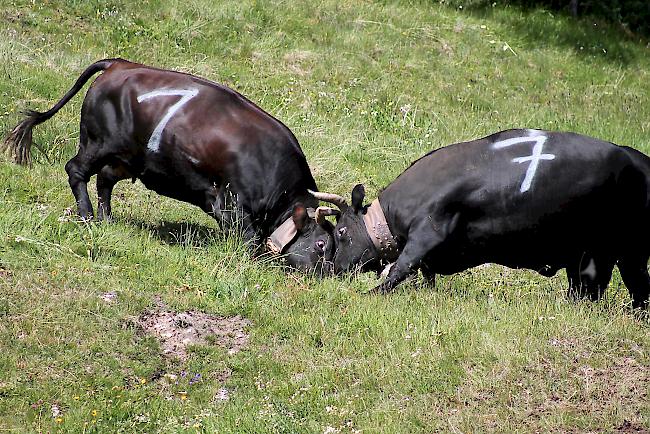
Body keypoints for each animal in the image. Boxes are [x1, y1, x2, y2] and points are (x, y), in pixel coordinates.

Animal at [5, 57, 336, 272]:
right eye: (322, 244)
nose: (330, 274)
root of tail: (119, 64)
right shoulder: (231, 204)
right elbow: (249, 241)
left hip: (130, 158)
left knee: (105, 179)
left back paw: (106, 219)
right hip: (98, 143)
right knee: (76, 170)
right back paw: (87, 216)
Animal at [322, 129, 648, 308]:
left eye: (341, 232)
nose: (334, 270)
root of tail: (638, 159)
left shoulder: (429, 229)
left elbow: (401, 268)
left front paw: (370, 293)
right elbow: (425, 275)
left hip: (616, 251)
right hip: (604, 254)